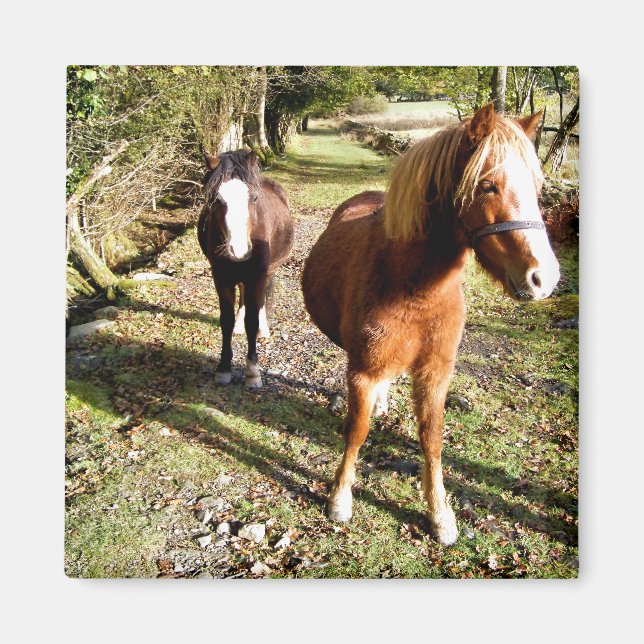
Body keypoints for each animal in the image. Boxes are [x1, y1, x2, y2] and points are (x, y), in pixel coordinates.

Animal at [198, 148, 293, 388]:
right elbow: (226, 320)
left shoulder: (257, 277)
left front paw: (252, 372)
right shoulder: (221, 277)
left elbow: (253, 318)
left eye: (254, 198)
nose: (238, 250)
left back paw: (263, 329)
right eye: (216, 199)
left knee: (260, 302)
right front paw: (223, 368)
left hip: (268, 272)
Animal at [301, 103, 560, 545]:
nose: (544, 278)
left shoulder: (435, 373)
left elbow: (432, 438)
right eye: (487, 185)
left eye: (538, 187)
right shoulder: (363, 372)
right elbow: (357, 431)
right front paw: (339, 498)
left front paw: (440, 514)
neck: (414, 287)